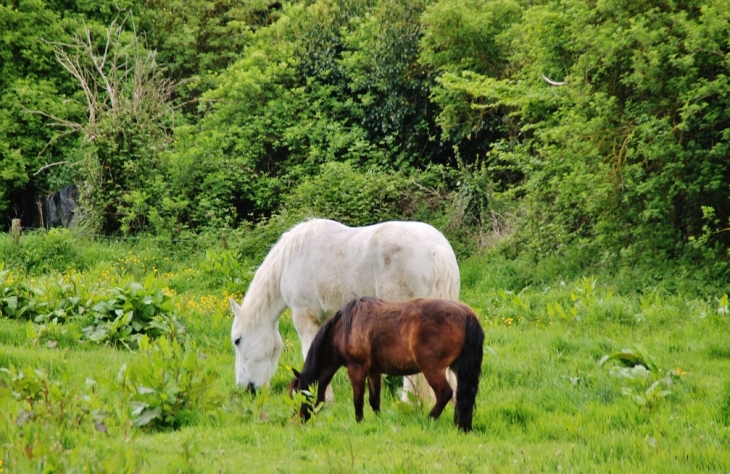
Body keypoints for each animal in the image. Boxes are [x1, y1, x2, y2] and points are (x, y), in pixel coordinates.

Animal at [288, 296, 484, 434]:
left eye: (298, 394)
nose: (298, 421)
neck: (342, 330)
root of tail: (467, 315)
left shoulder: (356, 369)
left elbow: (358, 400)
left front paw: (359, 422)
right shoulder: (374, 372)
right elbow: (374, 400)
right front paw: (379, 421)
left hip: (432, 369)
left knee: (445, 394)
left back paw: (428, 419)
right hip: (458, 369)